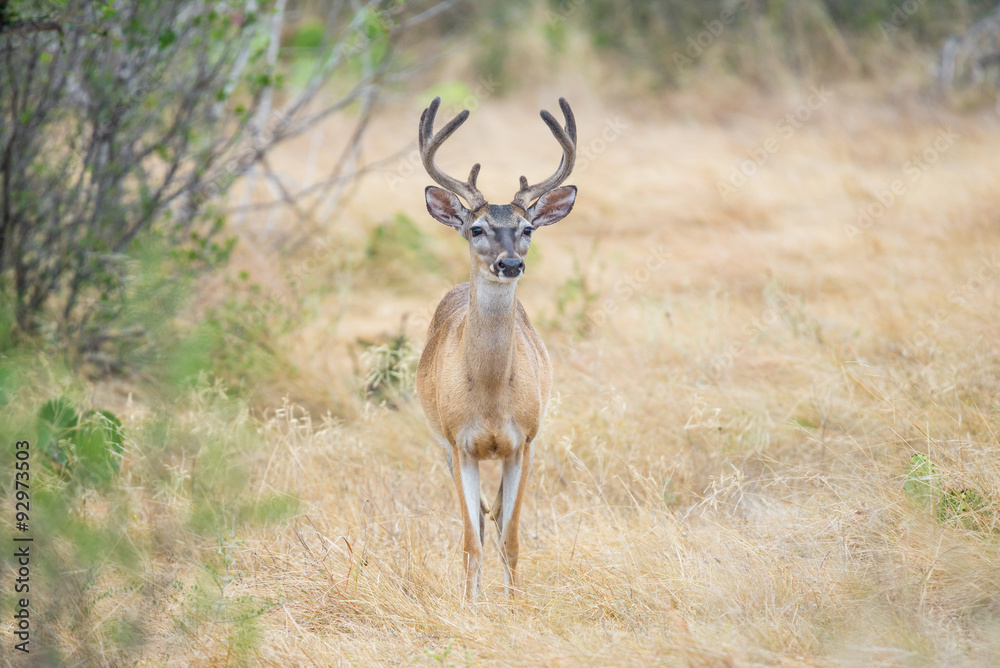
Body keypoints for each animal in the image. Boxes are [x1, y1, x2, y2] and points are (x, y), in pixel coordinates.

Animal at [414, 96, 578, 602]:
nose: (510, 263)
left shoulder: (522, 441)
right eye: (477, 228)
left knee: (501, 518)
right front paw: (470, 606)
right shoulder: (459, 443)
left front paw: (515, 604)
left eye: (527, 228)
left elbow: (512, 535)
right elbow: (472, 540)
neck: (488, 399)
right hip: (441, 442)